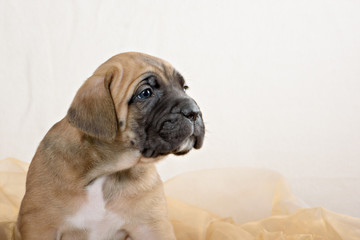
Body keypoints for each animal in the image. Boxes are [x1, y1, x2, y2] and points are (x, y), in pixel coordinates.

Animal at [16, 53, 205, 240]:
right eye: (145, 93)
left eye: (184, 88)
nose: (194, 112)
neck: (107, 171)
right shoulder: (40, 224)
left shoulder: (152, 226)